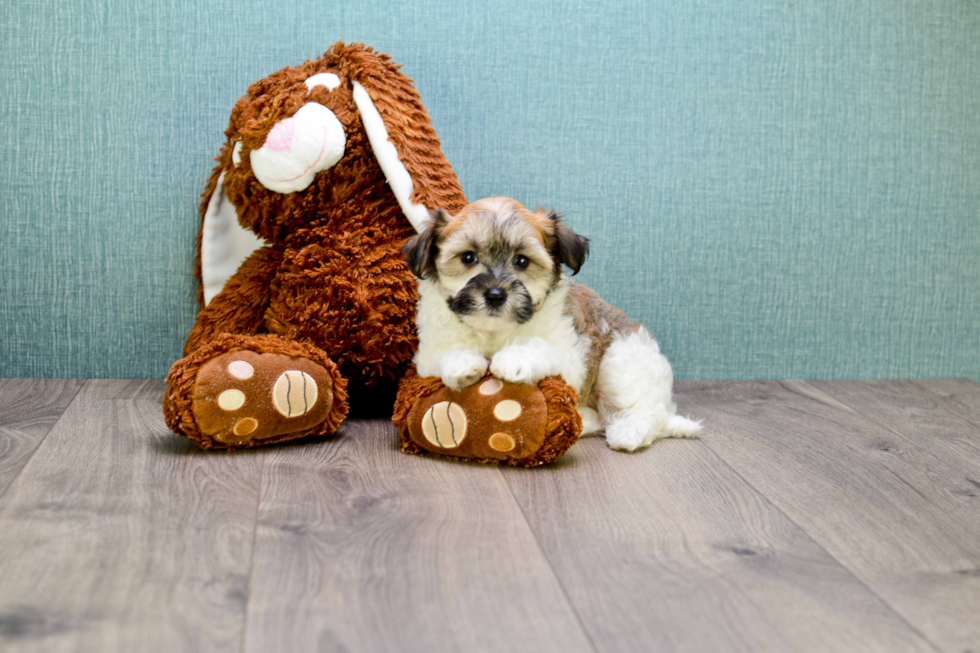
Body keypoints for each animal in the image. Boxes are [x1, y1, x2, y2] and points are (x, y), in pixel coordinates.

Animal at [402, 196, 700, 450]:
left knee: (648, 413)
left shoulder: (568, 353)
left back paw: (628, 432)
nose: (496, 295)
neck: (495, 331)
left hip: (620, 360)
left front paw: (513, 359)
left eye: (522, 260)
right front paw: (462, 364)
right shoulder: (428, 351)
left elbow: (540, 347)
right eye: (467, 257)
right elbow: (446, 351)